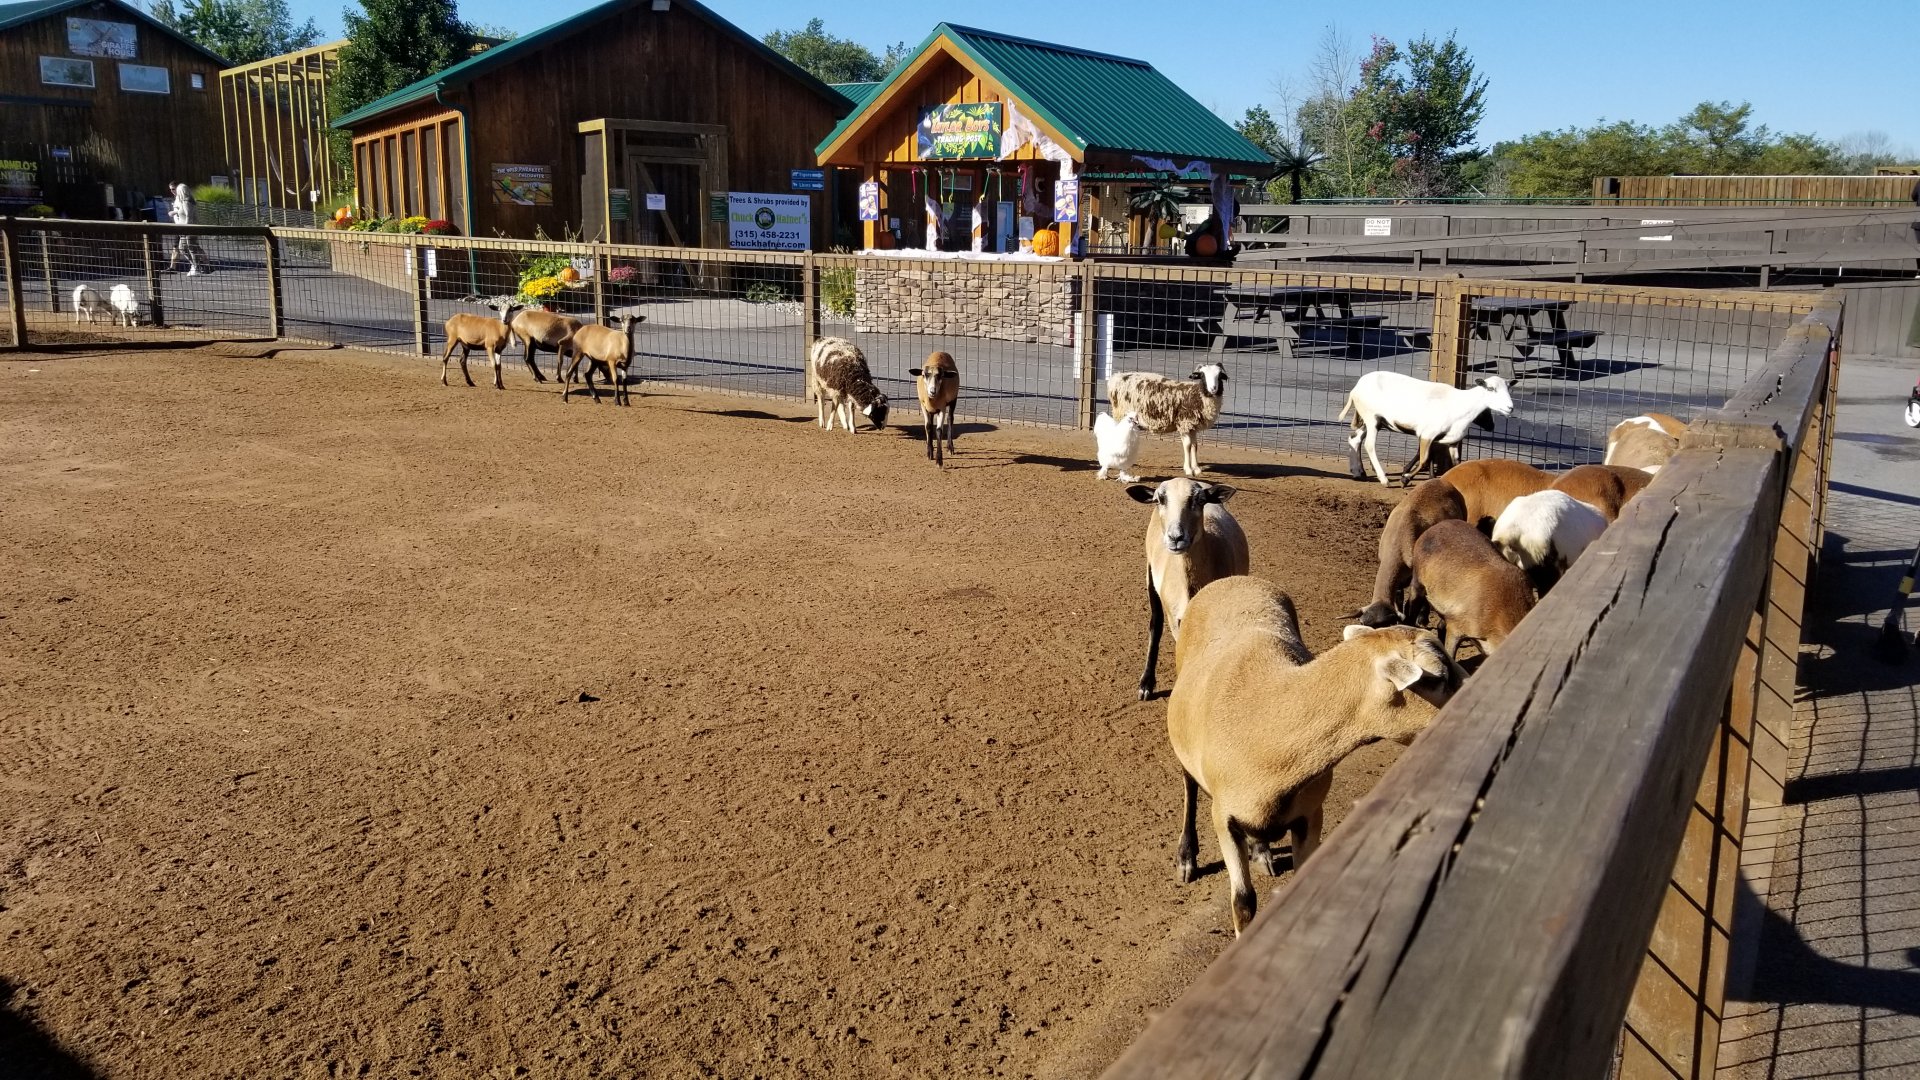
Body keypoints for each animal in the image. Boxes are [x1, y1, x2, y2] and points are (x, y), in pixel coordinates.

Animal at [1125, 478, 1248, 701]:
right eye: (1159, 499)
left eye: (1199, 500)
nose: (1176, 538)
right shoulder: (1176, 620)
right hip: (1150, 577)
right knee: (1155, 625)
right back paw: (1146, 683)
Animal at [1169, 576, 1463, 933]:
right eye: (1440, 676)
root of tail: (1233, 580)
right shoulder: (1224, 819)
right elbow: (1243, 904)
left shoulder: (1310, 814)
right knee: (1189, 784)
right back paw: (1187, 856)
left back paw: (1261, 850)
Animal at [1338, 372, 1515, 487]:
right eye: (1490, 389)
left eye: (1508, 389)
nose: (1510, 408)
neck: (1461, 405)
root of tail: (1356, 388)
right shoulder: (1427, 434)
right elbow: (1424, 459)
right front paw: (1405, 479)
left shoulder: (1452, 441)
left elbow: (1456, 463)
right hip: (1371, 417)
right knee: (1369, 445)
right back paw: (1384, 480)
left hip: (1374, 421)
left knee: (1354, 438)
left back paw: (1358, 473)